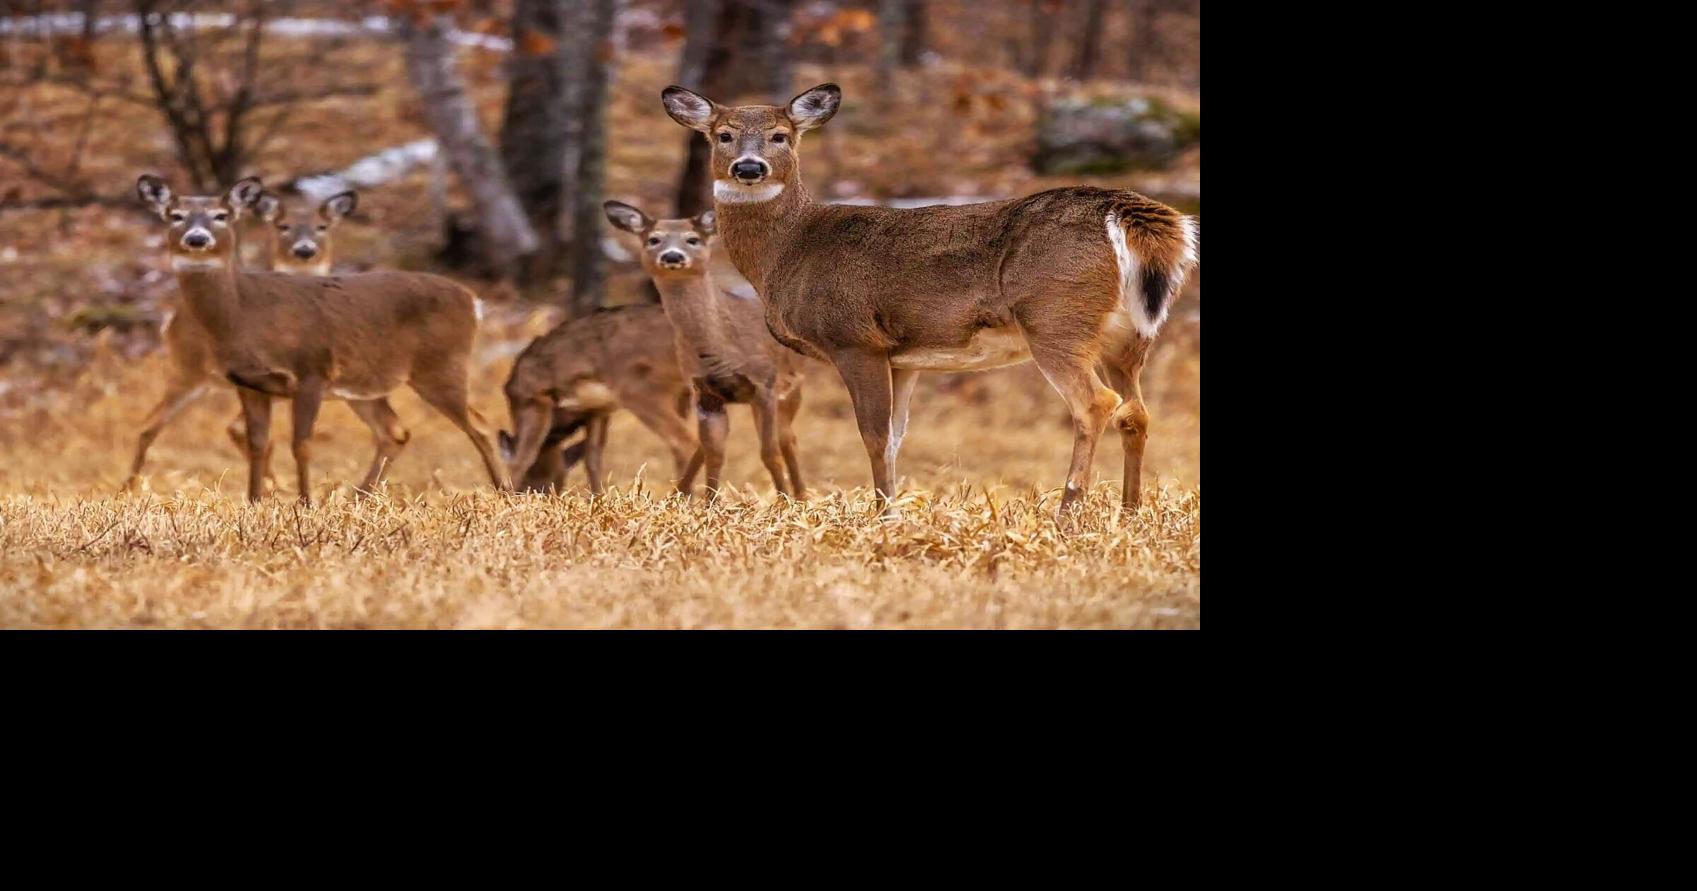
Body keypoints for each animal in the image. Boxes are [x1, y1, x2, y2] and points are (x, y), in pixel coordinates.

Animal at [134, 174, 512, 503]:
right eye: (175, 216)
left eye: (221, 215)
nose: (197, 239)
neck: (244, 314)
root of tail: (473, 300)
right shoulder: (249, 382)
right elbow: (259, 443)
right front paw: (255, 502)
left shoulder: (311, 370)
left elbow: (301, 444)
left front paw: (305, 503)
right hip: (364, 384)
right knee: (394, 430)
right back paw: (359, 497)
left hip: (441, 365)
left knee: (480, 425)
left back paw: (504, 493)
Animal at [499, 303, 699, 495]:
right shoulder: (598, 410)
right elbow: (592, 459)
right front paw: (598, 499)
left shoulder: (531, 400)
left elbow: (522, 459)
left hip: (641, 391)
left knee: (684, 442)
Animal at [603, 201, 806, 501]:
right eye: (654, 239)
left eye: (692, 239)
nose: (672, 256)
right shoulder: (706, 393)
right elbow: (715, 454)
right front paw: (710, 502)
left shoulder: (765, 383)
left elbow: (769, 452)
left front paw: (783, 502)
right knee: (704, 445)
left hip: (791, 387)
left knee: (787, 438)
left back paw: (801, 495)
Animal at [660, 83, 1198, 517]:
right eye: (723, 134)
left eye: (780, 135)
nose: (749, 167)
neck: (788, 250)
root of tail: (1126, 211)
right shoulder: (905, 358)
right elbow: (896, 438)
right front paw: (892, 507)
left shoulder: (854, 339)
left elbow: (873, 434)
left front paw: (884, 516)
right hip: (1128, 335)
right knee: (1137, 411)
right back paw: (1129, 511)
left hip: (1056, 316)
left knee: (1096, 403)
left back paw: (1067, 512)